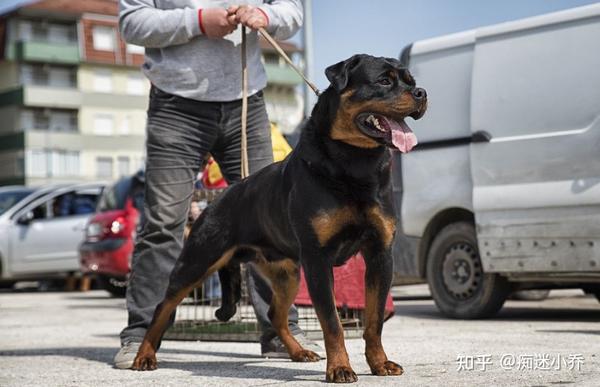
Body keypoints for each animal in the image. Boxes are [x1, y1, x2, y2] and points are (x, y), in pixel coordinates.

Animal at [132, 54, 426, 384]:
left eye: (411, 81)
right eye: (384, 81)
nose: (421, 93)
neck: (355, 163)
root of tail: (215, 200)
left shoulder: (379, 254)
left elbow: (374, 321)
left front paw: (379, 363)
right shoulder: (317, 259)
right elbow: (332, 323)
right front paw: (339, 368)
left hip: (287, 273)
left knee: (276, 314)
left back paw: (298, 351)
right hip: (197, 260)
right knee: (163, 306)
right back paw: (143, 355)